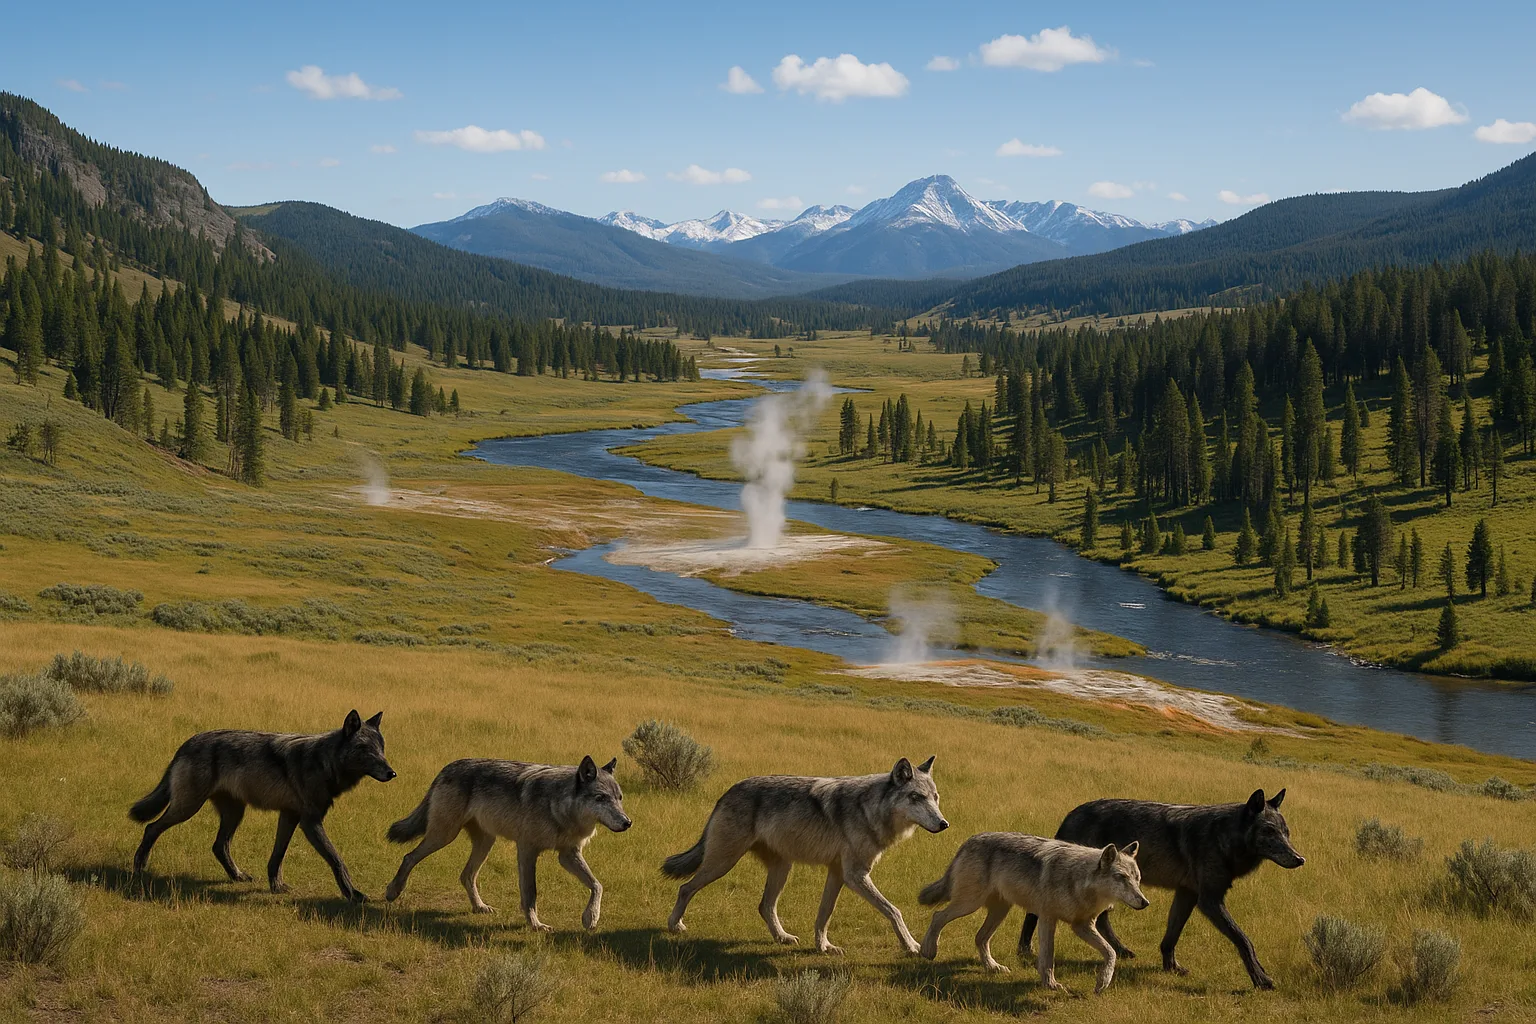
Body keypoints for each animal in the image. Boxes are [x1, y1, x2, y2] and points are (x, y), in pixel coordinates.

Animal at [129, 710, 395, 902]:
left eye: (382, 749)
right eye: (366, 750)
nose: (392, 773)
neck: (324, 762)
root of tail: (188, 742)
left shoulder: (289, 816)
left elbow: (277, 855)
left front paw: (276, 886)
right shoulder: (310, 822)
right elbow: (336, 859)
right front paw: (353, 894)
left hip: (234, 813)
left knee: (219, 845)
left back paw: (237, 876)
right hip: (188, 808)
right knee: (152, 828)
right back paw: (139, 868)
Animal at [384, 755, 631, 931]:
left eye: (619, 798)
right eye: (601, 798)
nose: (627, 822)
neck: (559, 808)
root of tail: (448, 766)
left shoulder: (567, 855)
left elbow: (597, 885)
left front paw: (591, 918)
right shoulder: (527, 850)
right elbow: (530, 892)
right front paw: (536, 925)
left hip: (485, 842)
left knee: (466, 875)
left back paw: (480, 907)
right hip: (444, 836)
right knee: (409, 857)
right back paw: (393, 891)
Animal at [661, 756, 947, 954]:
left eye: (935, 798)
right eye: (917, 797)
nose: (944, 824)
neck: (870, 809)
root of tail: (729, 790)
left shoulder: (838, 873)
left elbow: (824, 914)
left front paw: (823, 947)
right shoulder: (855, 875)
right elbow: (894, 910)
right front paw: (912, 945)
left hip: (781, 869)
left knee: (764, 906)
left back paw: (782, 937)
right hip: (722, 863)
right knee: (685, 888)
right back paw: (675, 926)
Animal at [918, 833, 1149, 993]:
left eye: (1137, 879)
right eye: (1121, 877)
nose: (1145, 902)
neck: (1077, 879)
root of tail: (970, 839)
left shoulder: (1082, 926)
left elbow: (1110, 953)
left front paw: (1102, 982)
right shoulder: (1048, 919)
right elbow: (1048, 957)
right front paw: (1051, 985)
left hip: (999, 911)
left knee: (980, 937)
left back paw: (992, 967)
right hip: (969, 904)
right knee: (938, 916)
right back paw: (928, 950)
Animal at [1017, 789, 1304, 989]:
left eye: (1287, 833)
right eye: (1269, 831)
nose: (1300, 859)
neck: (1223, 837)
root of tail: (1071, 813)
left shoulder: (1187, 894)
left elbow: (1171, 936)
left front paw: (1171, 967)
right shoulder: (1209, 900)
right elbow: (1244, 940)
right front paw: (1261, 979)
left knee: (1101, 921)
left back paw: (1122, 951)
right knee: (1036, 912)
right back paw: (1024, 950)